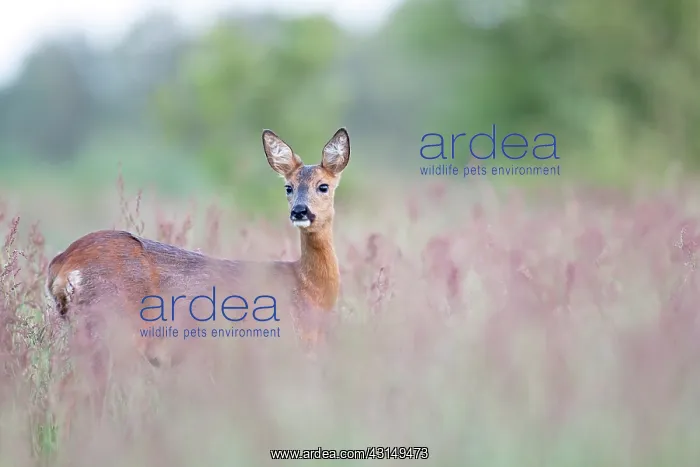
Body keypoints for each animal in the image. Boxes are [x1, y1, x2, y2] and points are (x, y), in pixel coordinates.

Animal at [45, 128, 350, 436]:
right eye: (288, 187)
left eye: (323, 186)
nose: (300, 211)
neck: (306, 287)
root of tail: (62, 262)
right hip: (109, 330)